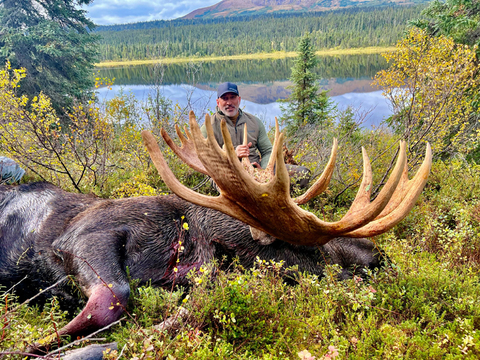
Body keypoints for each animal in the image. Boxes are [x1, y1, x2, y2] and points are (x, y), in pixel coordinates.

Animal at [0, 110, 430, 352]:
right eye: (314, 253)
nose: (380, 256)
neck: (187, 247)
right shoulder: (82, 235)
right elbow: (115, 296)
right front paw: (30, 347)